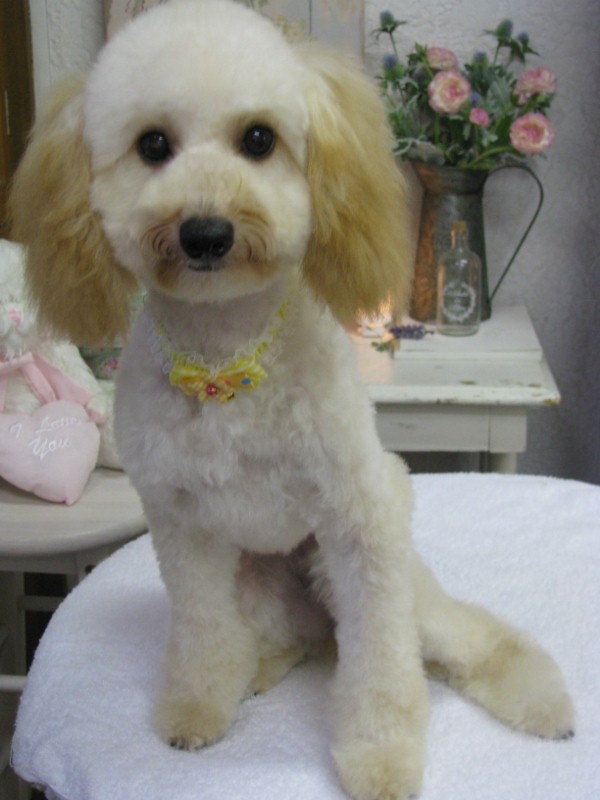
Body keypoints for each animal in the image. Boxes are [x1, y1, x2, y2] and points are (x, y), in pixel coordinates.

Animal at [9, 1, 574, 797]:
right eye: (152, 145)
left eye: (258, 139)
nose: (206, 232)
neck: (225, 360)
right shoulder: (184, 530)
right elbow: (203, 634)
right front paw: (196, 707)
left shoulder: (360, 524)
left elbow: (383, 667)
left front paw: (381, 756)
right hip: (261, 583)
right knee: (292, 642)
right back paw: (258, 670)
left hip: (379, 575)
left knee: (452, 638)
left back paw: (540, 698)